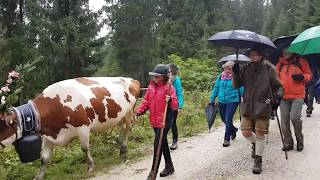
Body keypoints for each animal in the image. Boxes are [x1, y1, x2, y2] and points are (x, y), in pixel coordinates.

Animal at [0, 76, 141, 179]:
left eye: (2, 128)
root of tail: (132, 80)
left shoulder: (83, 127)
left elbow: (84, 148)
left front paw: (90, 166)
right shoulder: (48, 136)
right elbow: (44, 158)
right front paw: (39, 176)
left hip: (129, 114)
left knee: (128, 130)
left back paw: (124, 150)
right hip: (119, 118)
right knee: (122, 129)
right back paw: (121, 149)